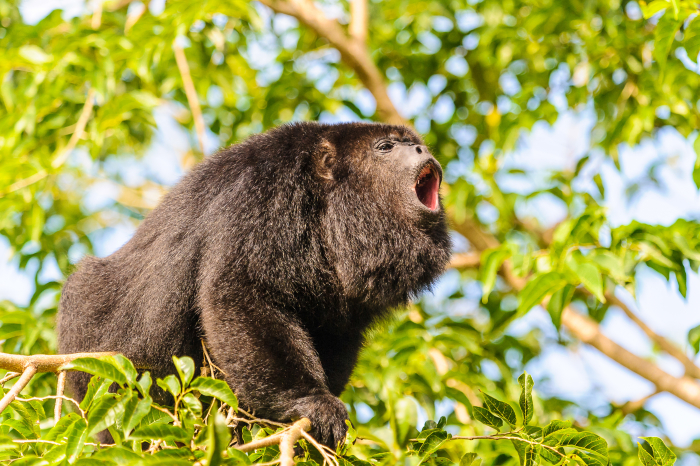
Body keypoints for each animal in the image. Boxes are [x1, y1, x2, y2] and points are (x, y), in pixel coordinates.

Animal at [60, 121, 454, 448]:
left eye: (413, 143)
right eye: (385, 147)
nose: (421, 150)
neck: (329, 204)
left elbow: (336, 330)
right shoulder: (263, 195)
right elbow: (240, 294)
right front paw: (311, 402)